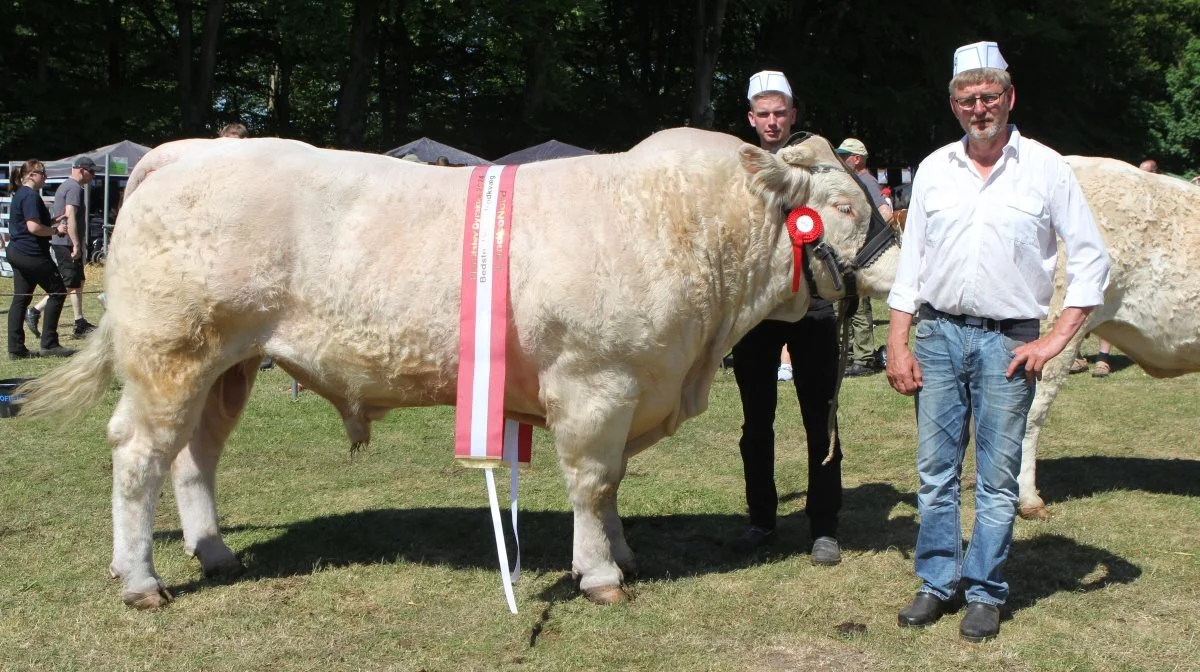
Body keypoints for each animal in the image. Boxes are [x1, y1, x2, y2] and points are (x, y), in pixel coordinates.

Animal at [18, 128, 897, 607]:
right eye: (843, 209)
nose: (905, 264)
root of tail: (180, 154)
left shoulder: (628, 388)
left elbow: (612, 483)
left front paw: (621, 552)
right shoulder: (595, 382)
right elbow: (592, 481)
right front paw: (598, 573)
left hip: (228, 365)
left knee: (195, 454)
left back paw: (214, 552)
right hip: (171, 355)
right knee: (139, 456)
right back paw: (140, 579)